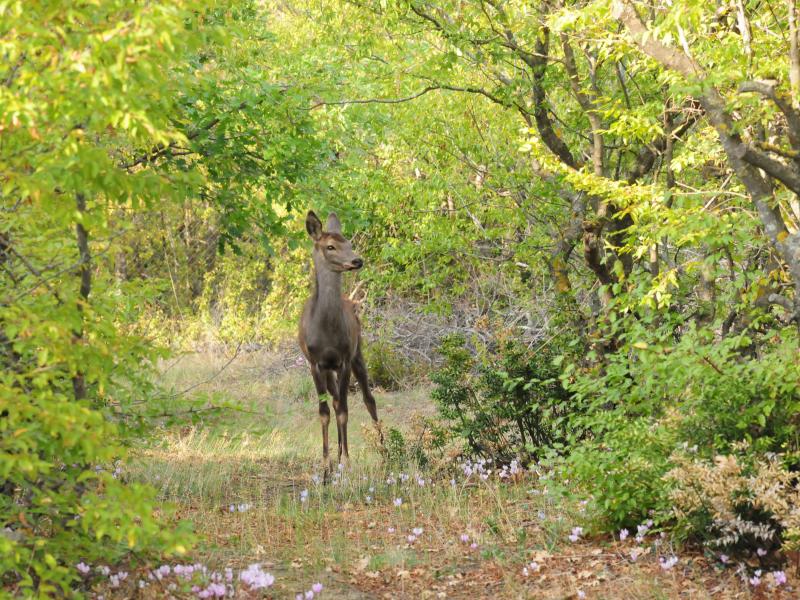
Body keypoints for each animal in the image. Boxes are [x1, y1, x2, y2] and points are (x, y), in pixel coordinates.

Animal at [298, 209, 382, 476]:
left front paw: (347, 461)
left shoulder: (344, 359)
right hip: (329, 369)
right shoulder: (316, 363)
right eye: (330, 246)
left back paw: (384, 449)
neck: (327, 332)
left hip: (358, 353)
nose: (357, 260)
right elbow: (325, 412)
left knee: (368, 399)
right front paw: (326, 467)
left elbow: (344, 411)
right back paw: (335, 457)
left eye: (349, 243)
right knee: (334, 401)